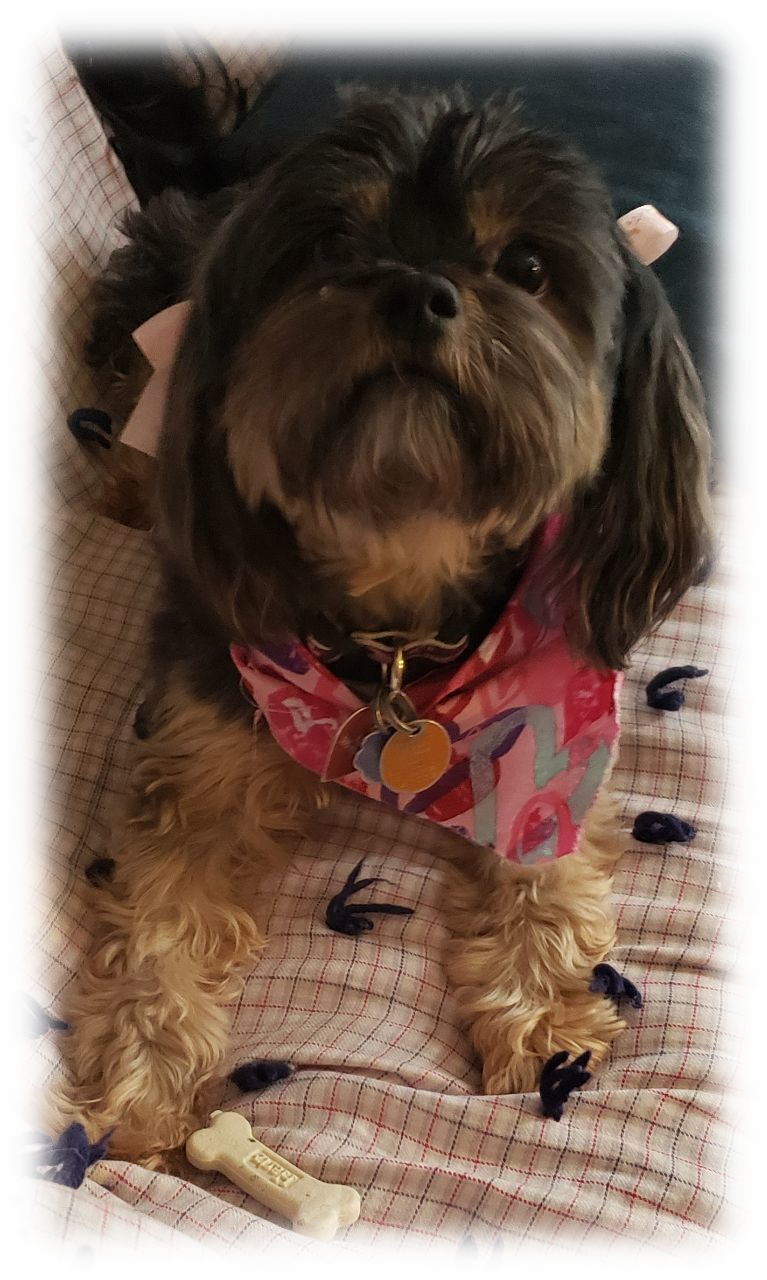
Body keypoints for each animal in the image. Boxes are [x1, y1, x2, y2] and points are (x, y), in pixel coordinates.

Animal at [28, 82, 711, 1172]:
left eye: (525, 267)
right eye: (330, 246)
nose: (416, 292)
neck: (398, 588)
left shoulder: (552, 731)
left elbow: (544, 876)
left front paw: (544, 1020)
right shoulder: (203, 755)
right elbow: (158, 929)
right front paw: (128, 1088)